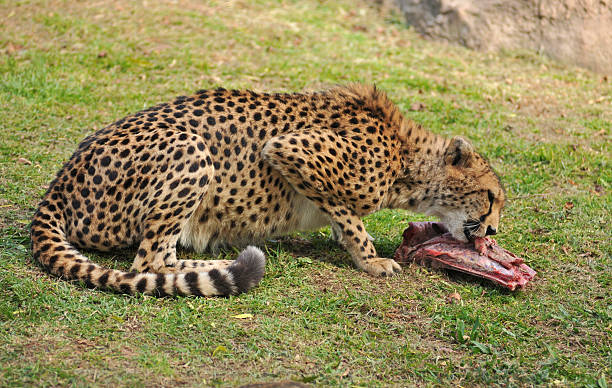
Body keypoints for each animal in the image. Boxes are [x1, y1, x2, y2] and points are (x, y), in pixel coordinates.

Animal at [31, 85, 504, 296]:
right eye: (491, 197)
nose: (494, 231)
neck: (407, 158)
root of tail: (62, 179)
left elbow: (343, 220)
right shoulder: (288, 149)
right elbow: (350, 217)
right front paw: (371, 261)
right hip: (192, 149)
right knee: (149, 261)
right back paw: (221, 260)